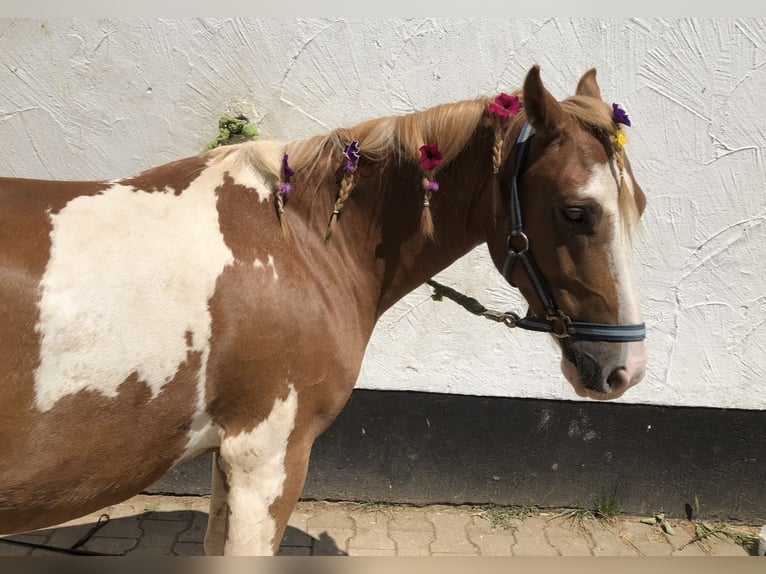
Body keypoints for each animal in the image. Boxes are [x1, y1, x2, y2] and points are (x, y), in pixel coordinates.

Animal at [0, 65, 646, 555]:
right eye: (575, 211)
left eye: (636, 203)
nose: (625, 369)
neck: (300, 243)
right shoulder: (266, 458)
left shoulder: (231, 460)